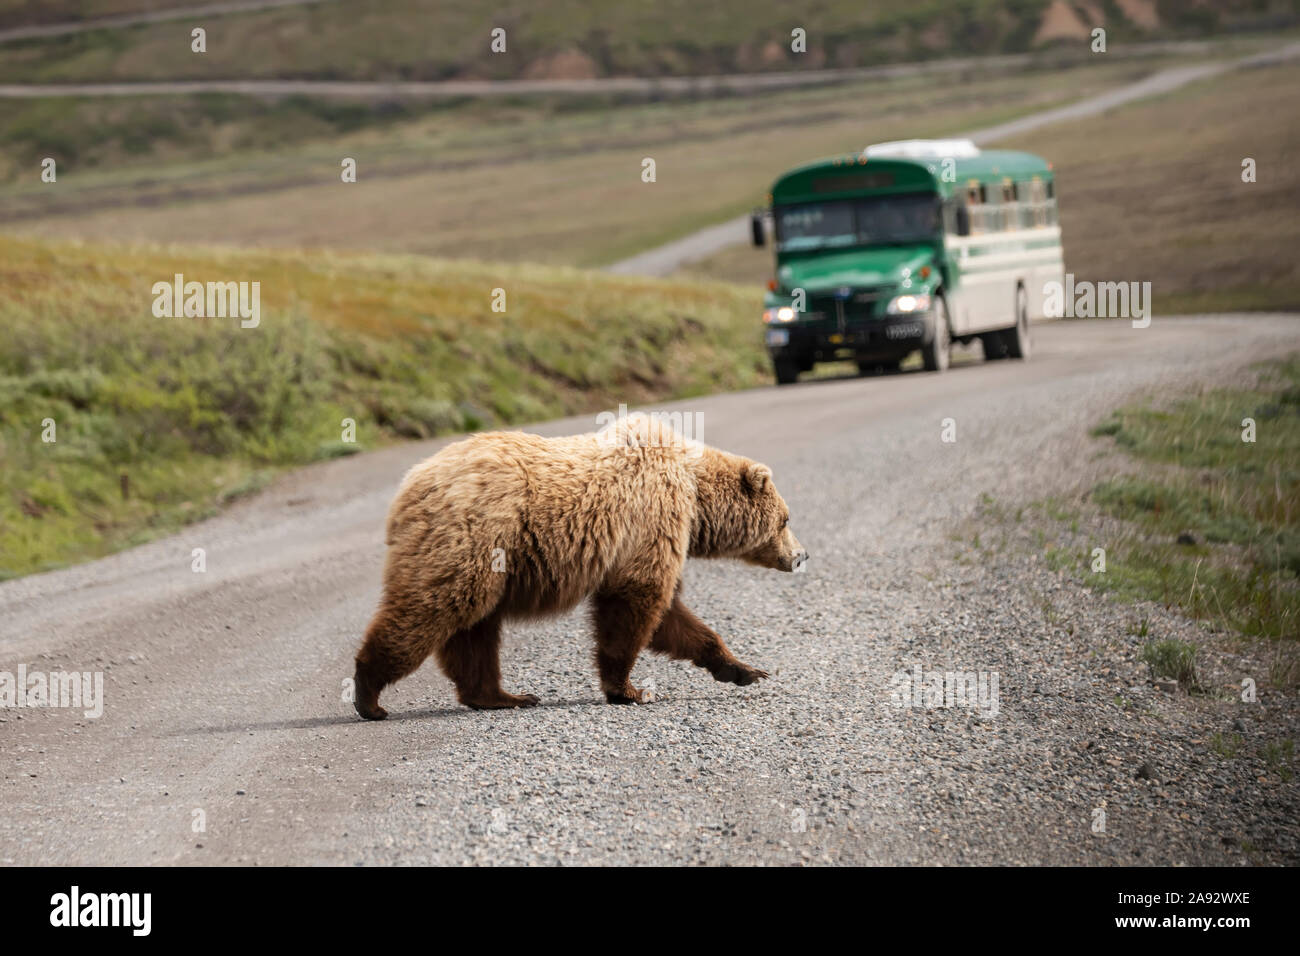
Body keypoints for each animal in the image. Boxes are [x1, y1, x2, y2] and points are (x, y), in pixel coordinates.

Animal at [351, 411, 806, 717]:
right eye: (786, 519)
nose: (801, 555)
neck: (694, 497)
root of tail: (408, 487)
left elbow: (674, 618)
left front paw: (744, 669)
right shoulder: (651, 520)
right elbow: (636, 602)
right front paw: (628, 689)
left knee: (475, 631)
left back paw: (503, 697)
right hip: (472, 539)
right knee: (431, 609)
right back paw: (368, 695)